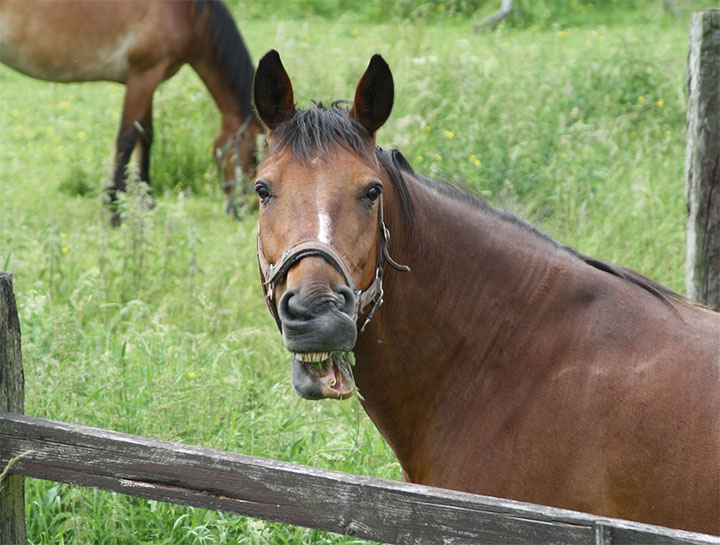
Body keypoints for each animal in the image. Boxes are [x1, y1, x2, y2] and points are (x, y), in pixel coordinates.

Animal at [0, 0, 262, 222]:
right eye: (254, 154)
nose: (246, 209)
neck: (185, 12)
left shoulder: (148, 80)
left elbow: (145, 136)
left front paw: (145, 201)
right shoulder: (142, 76)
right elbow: (126, 139)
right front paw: (114, 209)